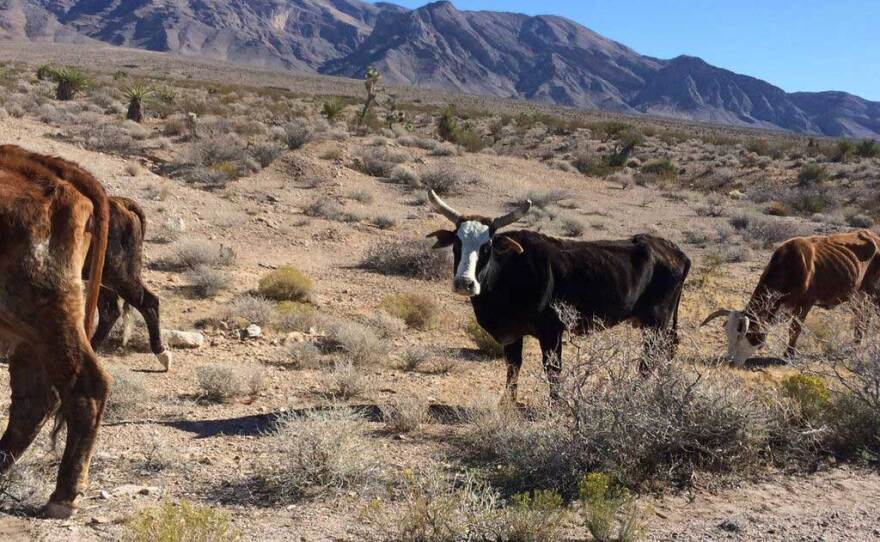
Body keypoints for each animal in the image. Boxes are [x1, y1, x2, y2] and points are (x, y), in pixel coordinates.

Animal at [428, 190, 696, 400]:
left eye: (487, 247)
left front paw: (555, 407)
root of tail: (675, 250)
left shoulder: (552, 331)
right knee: (667, 350)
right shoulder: (513, 334)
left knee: (649, 359)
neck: (511, 271)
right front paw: (508, 405)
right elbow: (513, 368)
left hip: (656, 322)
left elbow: (553, 371)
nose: (465, 283)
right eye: (457, 244)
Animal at [700, 230, 880, 366]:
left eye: (742, 335)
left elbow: (794, 330)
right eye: (727, 335)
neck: (790, 268)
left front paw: (788, 355)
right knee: (861, 318)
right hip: (858, 296)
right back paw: (855, 345)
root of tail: (873, 235)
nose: (729, 361)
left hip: (872, 295)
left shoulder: (805, 304)